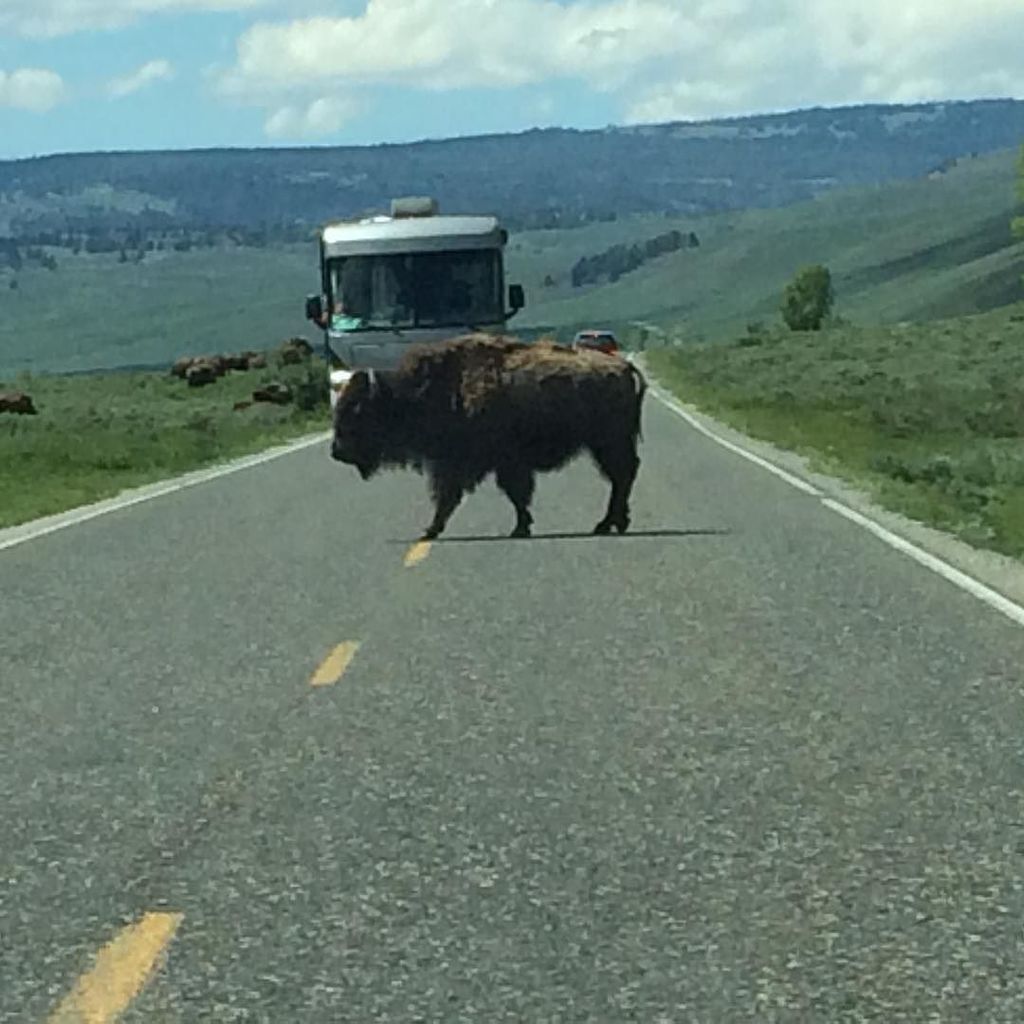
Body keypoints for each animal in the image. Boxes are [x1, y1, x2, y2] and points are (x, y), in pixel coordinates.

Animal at [330, 333, 646, 540]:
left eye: (357, 410)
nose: (336, 451)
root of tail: (624, 367)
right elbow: (506, 494)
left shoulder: (479, 463)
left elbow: (468, 495)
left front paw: (431, 531)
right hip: (607, 445)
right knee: (622, 477)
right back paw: (615, 522)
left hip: (608, 443)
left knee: (621, 476)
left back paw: (606, 524)